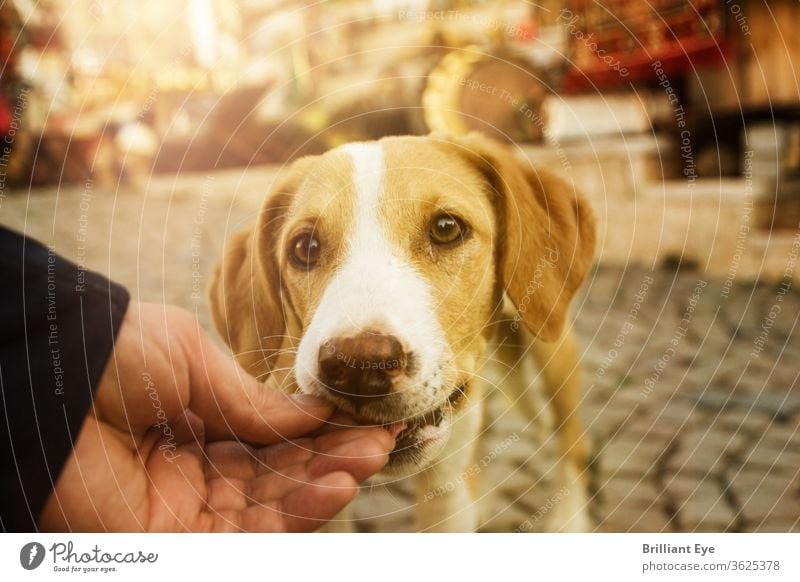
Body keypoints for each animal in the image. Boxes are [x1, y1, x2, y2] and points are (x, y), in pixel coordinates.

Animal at [209, 132, 596, 532]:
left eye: (446, 228)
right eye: (305, 247)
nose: (359, 368)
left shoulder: (445, 492)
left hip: (551, 351)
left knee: (573, 439)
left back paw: (568, 520)